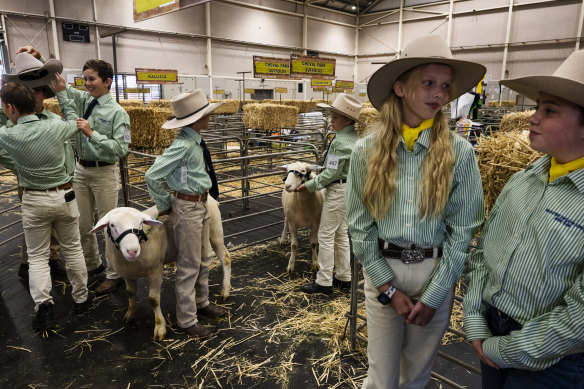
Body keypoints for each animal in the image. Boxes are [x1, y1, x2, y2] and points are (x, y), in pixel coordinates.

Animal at [90, 197, 232, 340]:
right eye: (112, 225)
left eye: (140, 223)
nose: (132, 251)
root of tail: (211, 198)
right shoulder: (127, 274)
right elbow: (130, 293)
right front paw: (130, 314)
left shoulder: (156, 271)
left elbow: (153, 299)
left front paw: (160, 328)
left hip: (215, 231)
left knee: (225, 257)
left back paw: (225, 291)